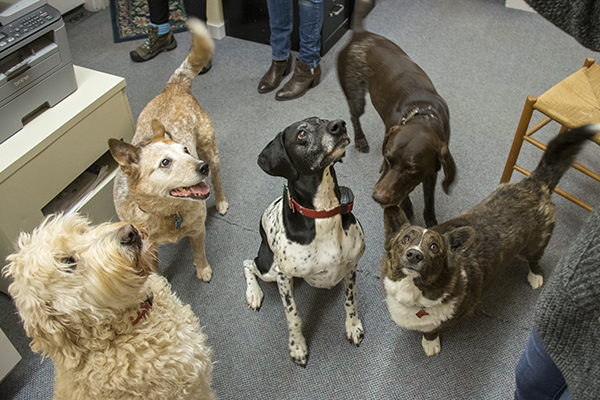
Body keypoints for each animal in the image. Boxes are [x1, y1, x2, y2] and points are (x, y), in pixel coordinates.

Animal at [244, 115, 366, 366]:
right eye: (301, 134)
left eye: (323, 120)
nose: (340, 124)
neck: (324, 212)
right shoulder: (283, 276)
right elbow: (293, 316)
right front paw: (297, 346)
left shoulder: (352, 265)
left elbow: (350, 301)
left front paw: (353, 327)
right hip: (268, 268)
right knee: (247, 263)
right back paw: (254, 294)